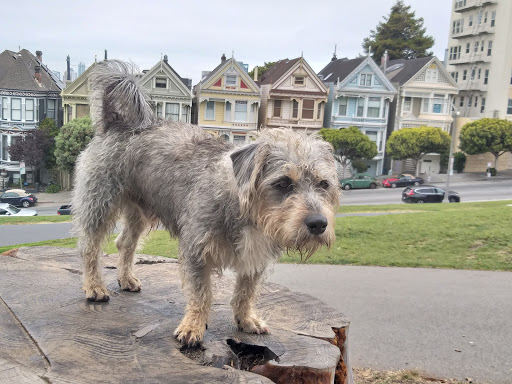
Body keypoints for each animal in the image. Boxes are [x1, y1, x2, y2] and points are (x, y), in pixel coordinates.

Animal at [74, 60, 340, 344]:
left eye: (324, 184)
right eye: (283, 183)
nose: (318, 224)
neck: (244, 210)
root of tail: (118, 123)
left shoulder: (255, 257)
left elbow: (246, 291)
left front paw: (246, 318)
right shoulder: (196, 251)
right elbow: (201, 294)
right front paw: (193, 326)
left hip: (139, 211)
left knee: (124, 243)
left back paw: (125, 278)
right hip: (99, 204)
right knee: (90, 248)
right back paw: (94, 286)